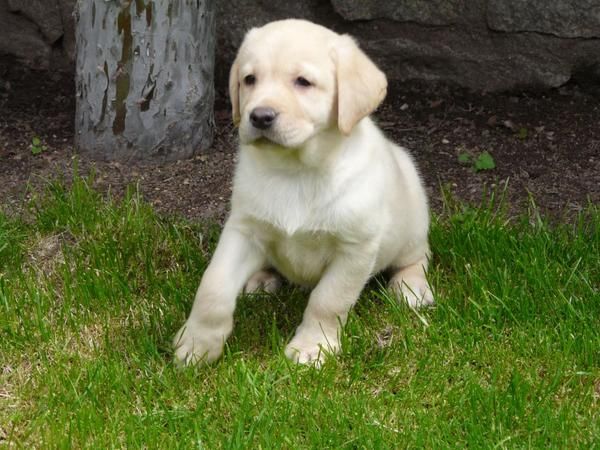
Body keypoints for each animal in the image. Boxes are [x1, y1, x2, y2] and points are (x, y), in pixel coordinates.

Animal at [173, 19, 432, 368]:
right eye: (249, 79)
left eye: (303, 82)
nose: (260, 116)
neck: (295, 170)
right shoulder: (243, 229)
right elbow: (213, 285)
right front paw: (197, 343)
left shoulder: (355, 249)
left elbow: (328, 300)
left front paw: (313, 346)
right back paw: (259, 279)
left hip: (413, 220)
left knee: (418, 255)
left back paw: (411, 288)